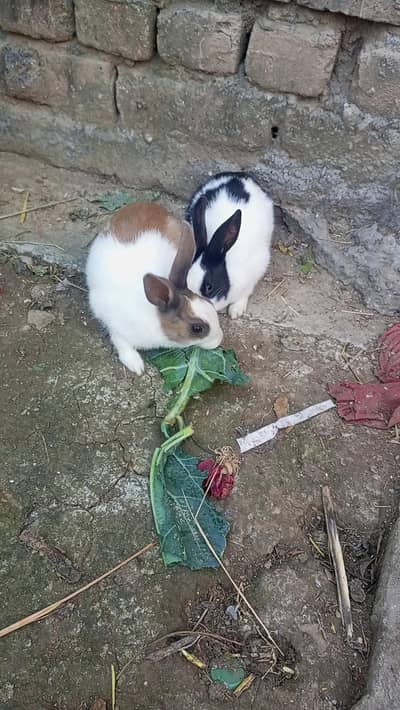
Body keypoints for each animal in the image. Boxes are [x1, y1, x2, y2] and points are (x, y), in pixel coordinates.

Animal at [86, 202, 223, 375]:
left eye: (209, 303)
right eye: (197, 328)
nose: (219, 339)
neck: (154, 316)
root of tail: (145, 204)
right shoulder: (116, 328)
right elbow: (121, 344)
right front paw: (136, 366)